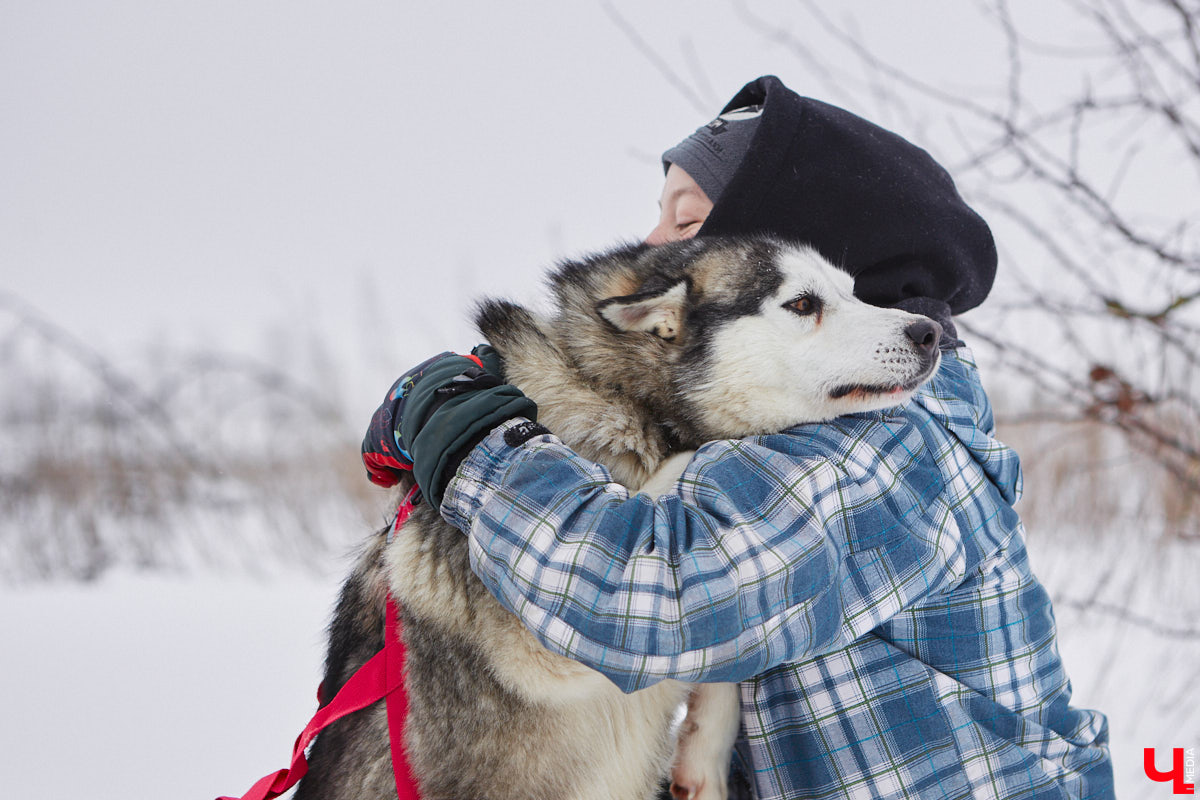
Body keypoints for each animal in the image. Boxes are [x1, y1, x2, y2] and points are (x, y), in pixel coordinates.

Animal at [295, 236, 940, 800]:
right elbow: (687, 466)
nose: (932, 332)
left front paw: (703, 757)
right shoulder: (536, 650)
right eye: (803, 304)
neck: (616, 392)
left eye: (854, 293)